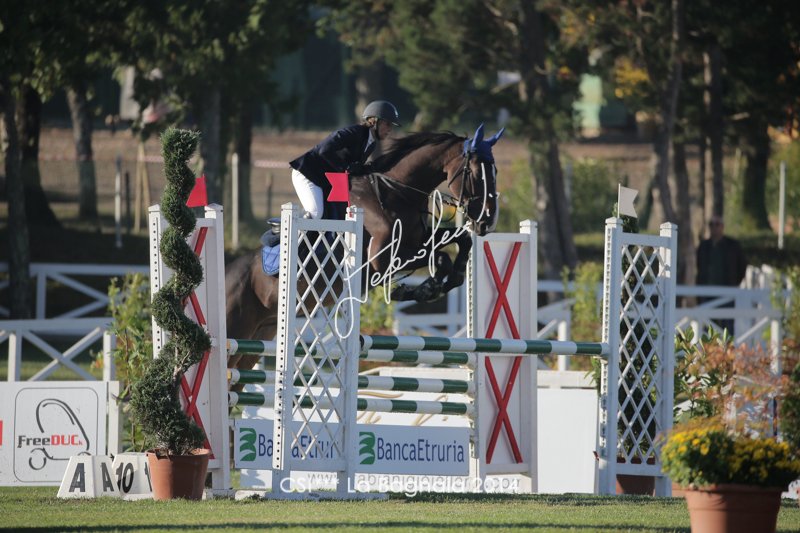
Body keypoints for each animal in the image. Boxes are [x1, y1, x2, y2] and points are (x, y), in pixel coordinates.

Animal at [225, 124, 504, 372]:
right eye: (477, 173)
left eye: (495, 172)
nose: (489, 221)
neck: (395, 193)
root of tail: (228, 272)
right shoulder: (383, 259)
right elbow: (441, 257)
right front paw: (420, 290)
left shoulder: (418, 240)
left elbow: (459, 243)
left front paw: (434, 285)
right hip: (236, 330)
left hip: (259, 336)